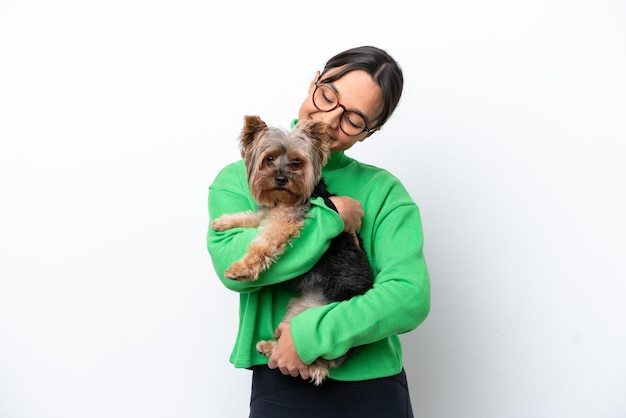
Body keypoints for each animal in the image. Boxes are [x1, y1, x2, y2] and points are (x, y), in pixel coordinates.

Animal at [212, 115, 372, 386]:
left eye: (297, 162)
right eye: (269, 159)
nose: (280, 178)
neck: (283, 199)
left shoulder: (284, 221)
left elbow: (262, 243)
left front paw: (241, 268)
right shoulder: (267, 215)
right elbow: (250, 217)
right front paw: (224, 221)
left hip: (316, 316)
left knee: (318, 364)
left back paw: (273, 349)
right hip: (300, 306)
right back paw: (268, 346)